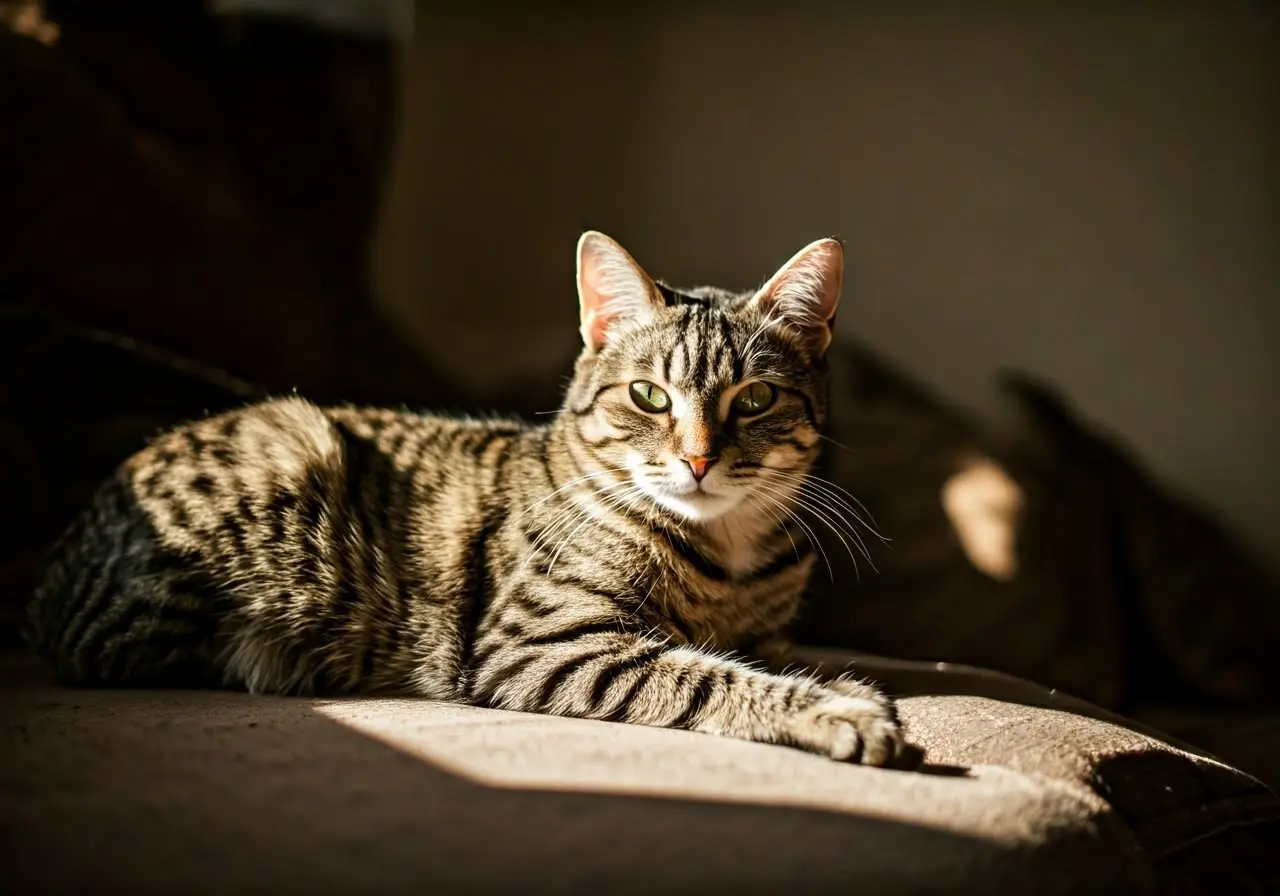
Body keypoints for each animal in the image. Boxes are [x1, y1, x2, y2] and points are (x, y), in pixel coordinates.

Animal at [27, 230, 911, 762]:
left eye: (755, 400)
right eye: (648, 396)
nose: (697, 460)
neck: (726, 553)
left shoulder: (767, 630)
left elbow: (778, 654)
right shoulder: (542, 641)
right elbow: (705, 675)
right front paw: (838, 709)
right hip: (286, 446)